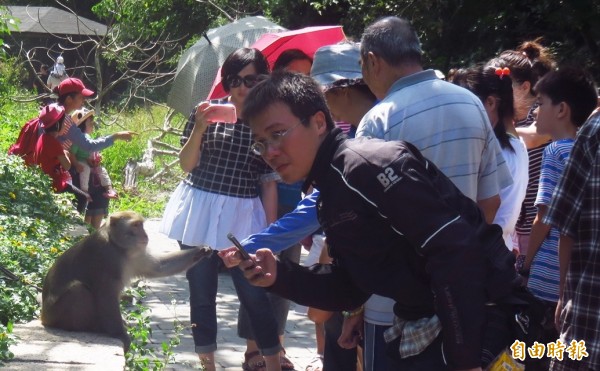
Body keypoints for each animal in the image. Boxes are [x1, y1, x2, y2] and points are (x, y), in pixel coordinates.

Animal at [41, 212, 212, 352]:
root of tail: (44, 316)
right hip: (56, 314)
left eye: (141, 225)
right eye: (135, 226)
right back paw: (91, 327)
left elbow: (158, 267)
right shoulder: (106, 257)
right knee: (79, 290)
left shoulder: (135, 254)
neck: (117, 245)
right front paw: (120, 335)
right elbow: (106, 296)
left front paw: (200, 251)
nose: (145, 235)